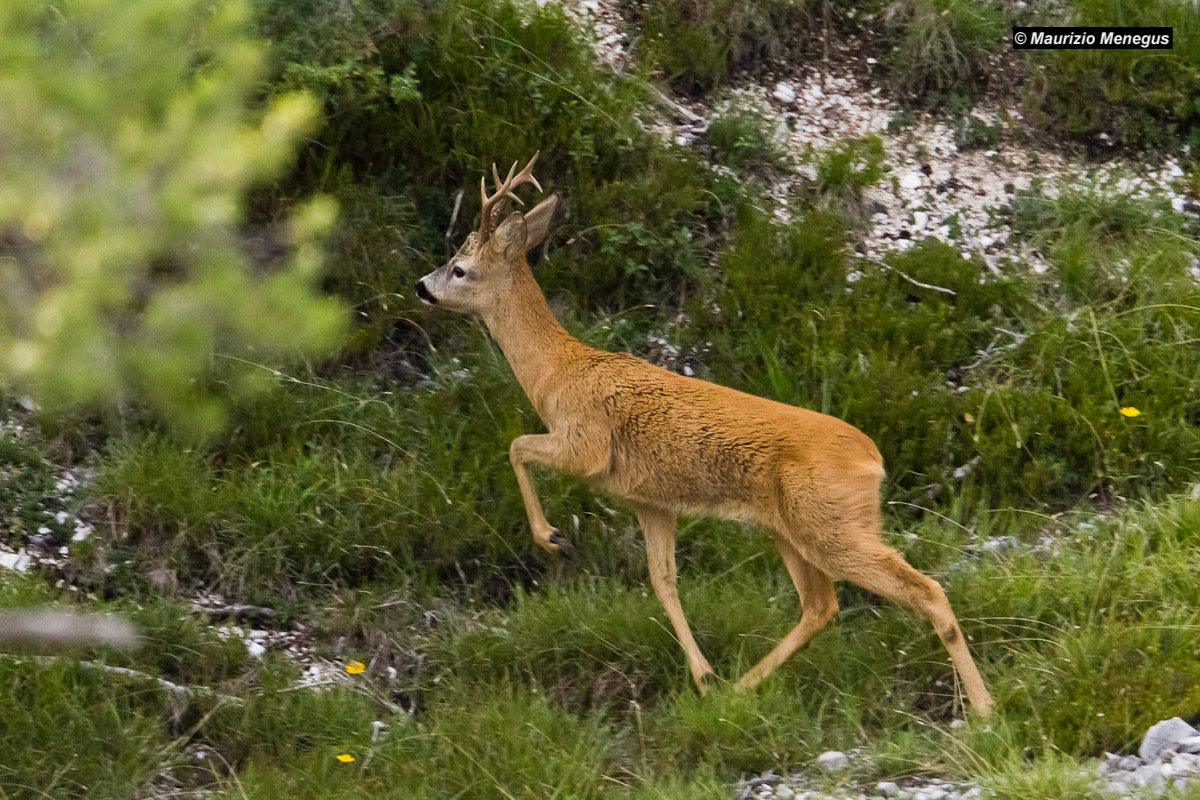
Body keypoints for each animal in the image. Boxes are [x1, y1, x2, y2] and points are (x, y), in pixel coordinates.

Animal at [416, 153, 994, 717]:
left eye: (460, 268)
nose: (422, 286)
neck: (556, 373)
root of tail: (874, 459)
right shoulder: (649, 501)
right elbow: (664, 582)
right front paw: (704, 676)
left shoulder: (586, 445)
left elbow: (516, 447)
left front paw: (555, 540)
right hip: (791, 528)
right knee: (820, 606)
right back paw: (739, 687)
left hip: (830, 524)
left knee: (925, 591)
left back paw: (984, 710)